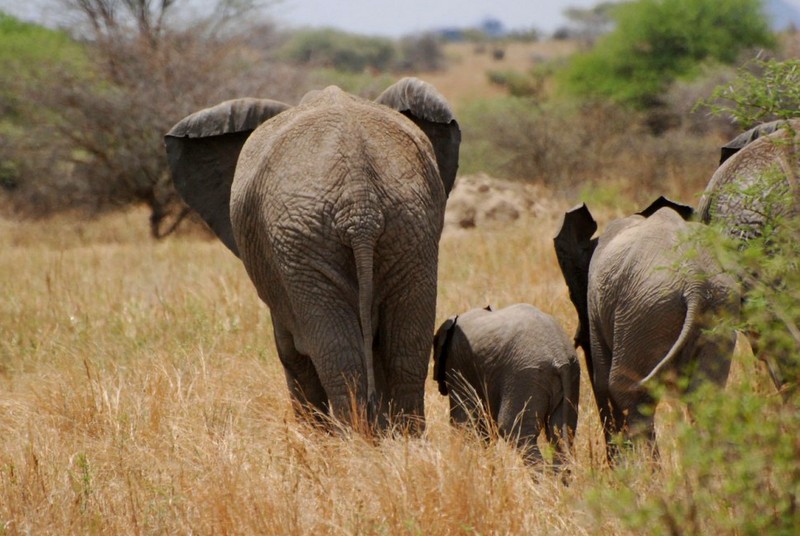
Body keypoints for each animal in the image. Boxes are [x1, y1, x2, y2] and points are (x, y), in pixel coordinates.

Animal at [164, 78, 462, 432]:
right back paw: (402, 439)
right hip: (408, 229)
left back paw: (353, 441)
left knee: (338, 356)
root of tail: (359, 200)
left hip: (302, 240)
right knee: (404, 350)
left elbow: (290, 352)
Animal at [432, 304, 580, 466]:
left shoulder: (457, 365)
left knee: (515, 431)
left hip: (526, 376)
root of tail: (559, 357)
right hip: (570, 377)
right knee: (561, 433)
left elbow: (465, 422)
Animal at [556, 197, 736, 460]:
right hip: (714, 313)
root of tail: (695, 284)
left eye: (571, 294)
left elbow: (602, 382)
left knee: (625, 390)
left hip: (644, 310)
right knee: (704, 397)